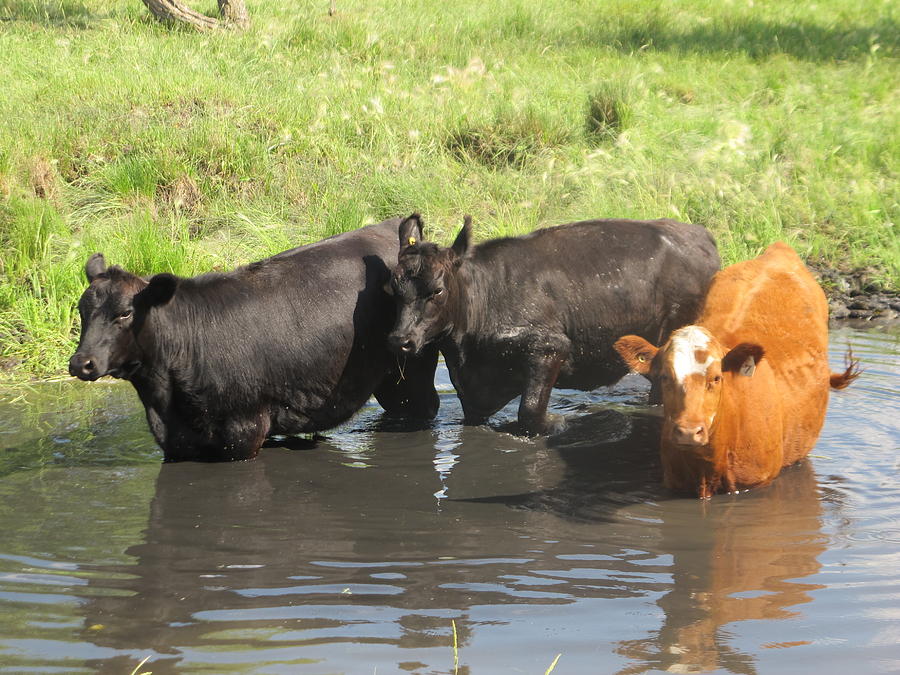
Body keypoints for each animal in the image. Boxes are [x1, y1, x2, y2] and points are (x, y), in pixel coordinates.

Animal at [70, 219, 440, 462]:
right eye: (81, 310)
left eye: (124, 314)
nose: (81, 363)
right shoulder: (175, 444)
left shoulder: (244, 431)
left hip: (414, 368)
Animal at [384, 217, 716, 438]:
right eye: (393, 288)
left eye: (437, 290)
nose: (400, 340)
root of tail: (699, 235)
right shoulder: (472, 395)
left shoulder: (548, 348)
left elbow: (530, 413)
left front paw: (560, 423)